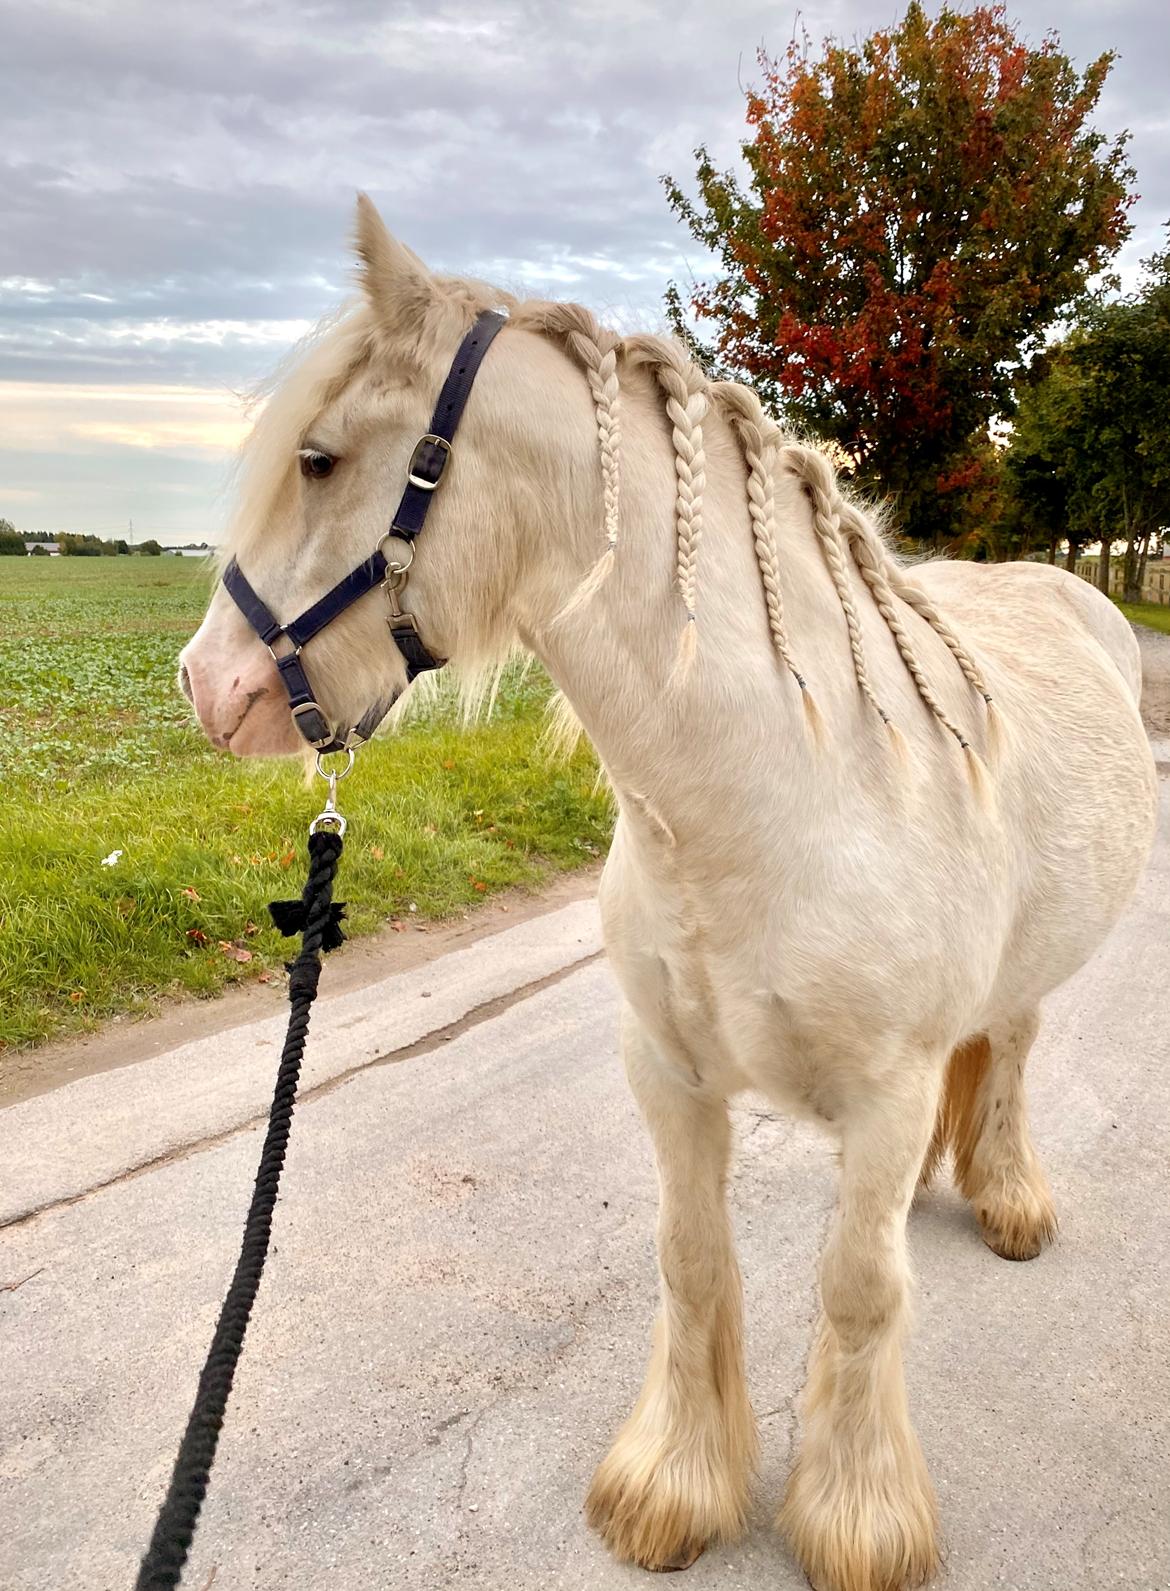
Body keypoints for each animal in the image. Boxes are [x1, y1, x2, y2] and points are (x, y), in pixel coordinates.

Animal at [183, 198, 1165, 1591]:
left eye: (319, 460)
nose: (207, 686)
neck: (782, 793)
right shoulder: (668, 1074)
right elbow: (693, 1264)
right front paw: (675, 1487)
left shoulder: (883, 1094)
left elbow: (859, 1289)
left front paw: (857, 1518)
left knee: (1013, 1046)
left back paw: (1010, 1195)